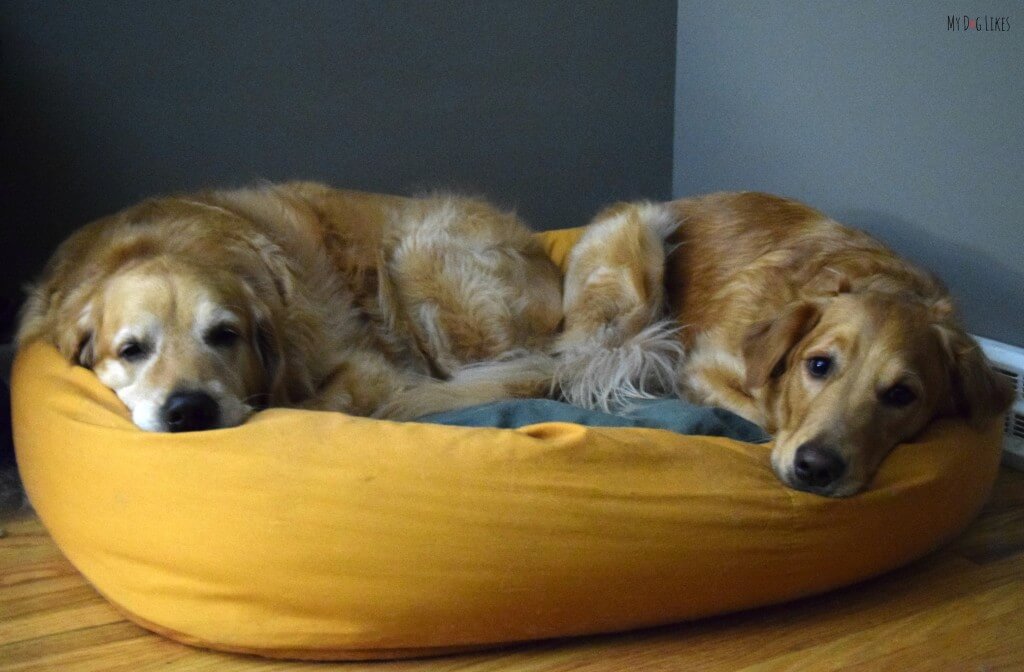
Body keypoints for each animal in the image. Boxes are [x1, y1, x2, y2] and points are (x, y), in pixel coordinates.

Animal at [18, 182, 561, 430]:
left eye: (225, 335)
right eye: (132, 350)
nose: (190, 409)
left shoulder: (367, 368)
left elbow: (314, 405)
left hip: (420, 253)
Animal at [557, 191, 1011, 495]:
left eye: (902, 394)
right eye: (819, 365)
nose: (816, 468)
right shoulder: (701, 365)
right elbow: (766, 415)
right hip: (644, 247)